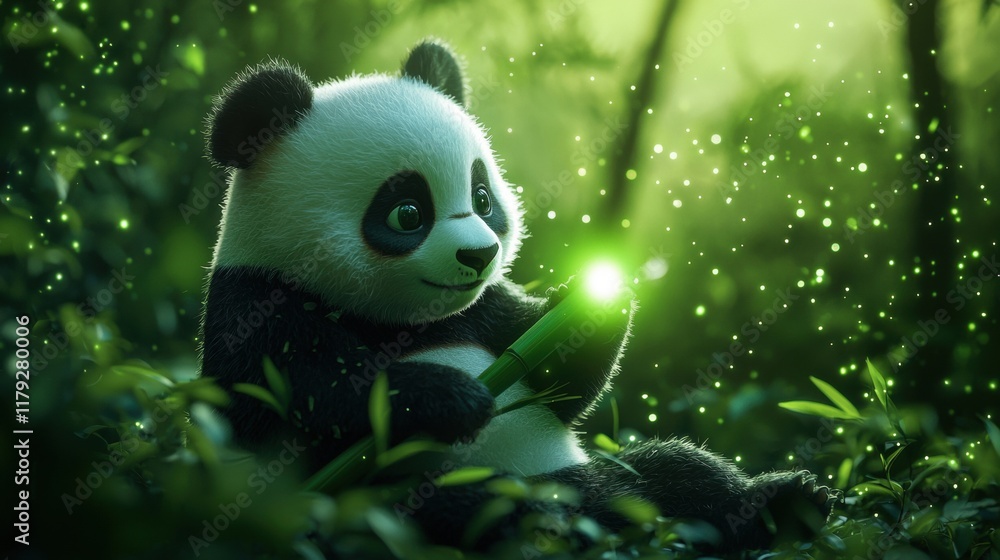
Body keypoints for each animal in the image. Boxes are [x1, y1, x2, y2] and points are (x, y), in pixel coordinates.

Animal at [200, 40, 837, 553]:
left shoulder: (484, 310)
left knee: (676, 472)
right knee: (474, 511)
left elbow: (560, 382)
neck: (402, 322)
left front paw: (590, 300)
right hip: (410, 503)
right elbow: (307, 396)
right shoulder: (257, 303)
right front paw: (451, 397)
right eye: (407, 212)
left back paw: (781, 505)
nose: (478, 255)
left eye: (482, 197)